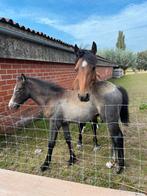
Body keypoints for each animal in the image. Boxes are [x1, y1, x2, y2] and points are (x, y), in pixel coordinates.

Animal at [74, 42, 129, 174]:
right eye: (76, 68)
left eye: (94, 67)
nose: (83, 96)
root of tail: (117, 88)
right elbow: (87, 125)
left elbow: (84, 125)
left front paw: (84, 143)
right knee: (114, 137)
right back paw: (113, 161)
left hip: (111, 120)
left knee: (118, 136)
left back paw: (119, 166)